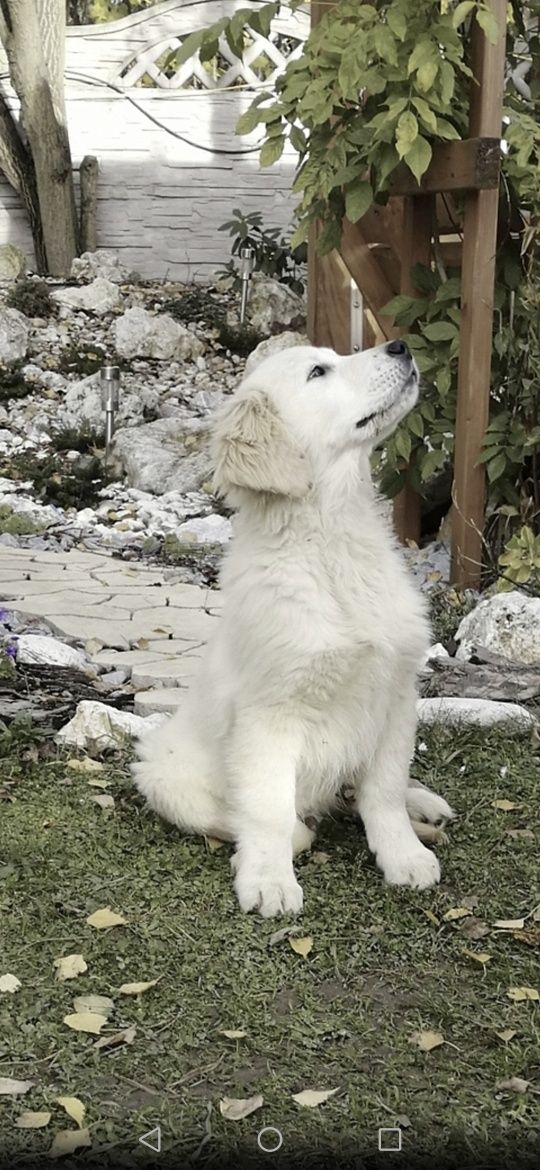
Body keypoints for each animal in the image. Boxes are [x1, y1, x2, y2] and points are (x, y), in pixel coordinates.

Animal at [132, 341, 453, 917]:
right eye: (318, 372)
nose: (400, 345)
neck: (332, 542)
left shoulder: (395, 695)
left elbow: (384, 790)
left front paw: (404, 855)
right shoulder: (269, 715)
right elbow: (267, 808)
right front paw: (268, 879)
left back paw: (422, 804)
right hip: (159, 771)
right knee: (250, 815)